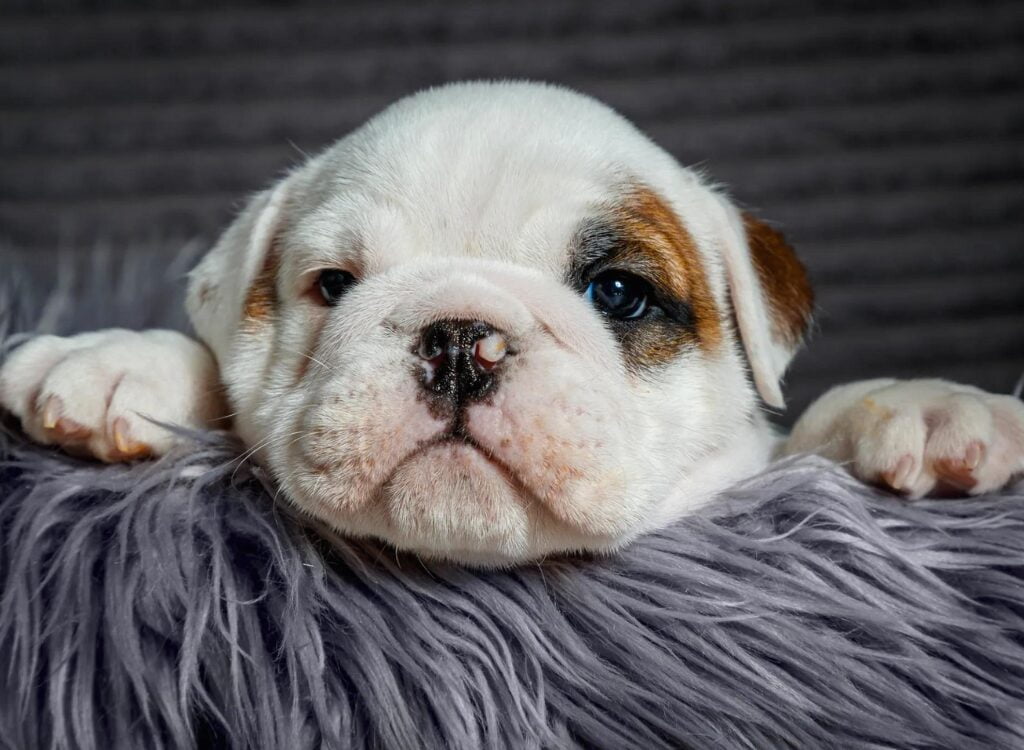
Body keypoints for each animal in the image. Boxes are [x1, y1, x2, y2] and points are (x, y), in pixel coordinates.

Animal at [2, 81, 1024, 561]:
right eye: (333, 285)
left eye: (618, 293)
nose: (459, 339)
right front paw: (118, 360)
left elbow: (813, 428)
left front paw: (928, 405)